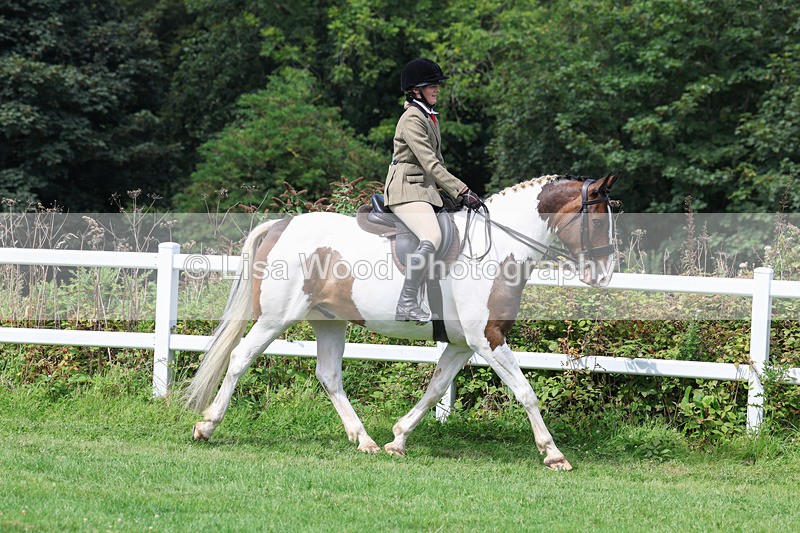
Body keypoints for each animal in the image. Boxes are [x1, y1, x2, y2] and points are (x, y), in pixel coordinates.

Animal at [185, 173, 619, 471]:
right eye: (599, 221)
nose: (603, 276)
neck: (498, 248)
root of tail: (280, 225)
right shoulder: (488, 338)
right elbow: (526, 392)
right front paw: (554, 454)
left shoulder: (462, 344)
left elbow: (435, 389)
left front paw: (398, 439)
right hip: (274, 319)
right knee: (240, 358)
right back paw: (206, 426)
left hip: (330, 321)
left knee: (329, 375)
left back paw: (365, 441)